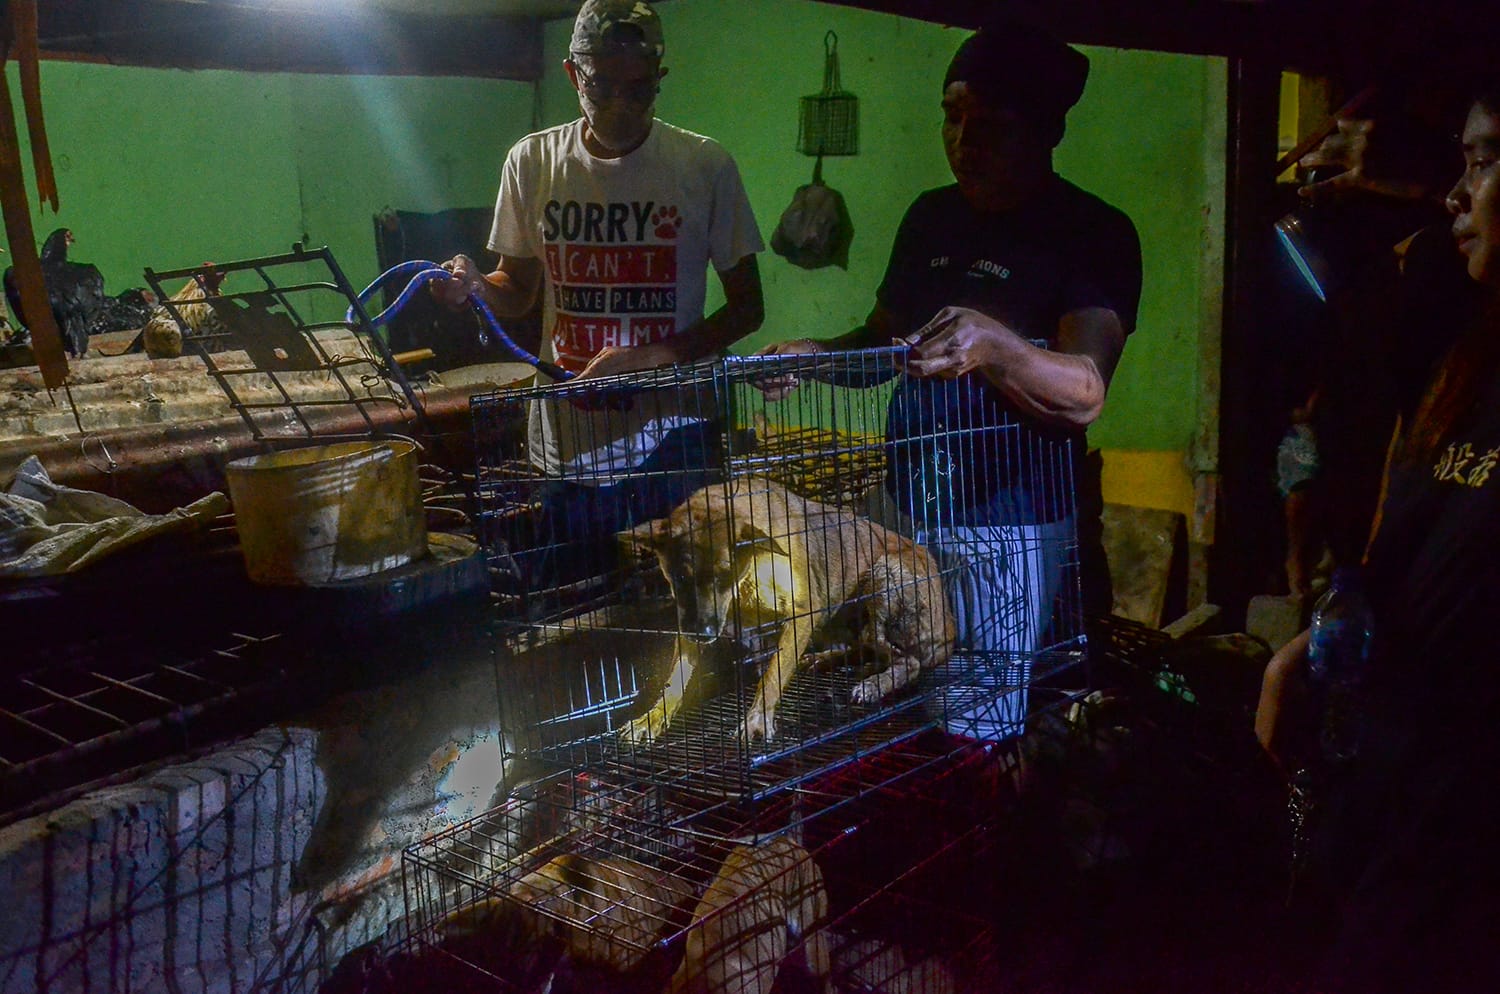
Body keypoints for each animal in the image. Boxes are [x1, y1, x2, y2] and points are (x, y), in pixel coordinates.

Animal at [618, 476, 948, 746]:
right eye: (680, 577)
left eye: (724, 575)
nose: (703, 634)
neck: (748, 574)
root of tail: (950, 627)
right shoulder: (691, 622)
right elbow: (674, 679)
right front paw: (650, 718)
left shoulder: (803, 612)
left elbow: (773, 672)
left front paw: (757, 718)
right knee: (865, 649)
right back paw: (831, 660)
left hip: (881, 577)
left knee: (908, 661)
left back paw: (874, 684)